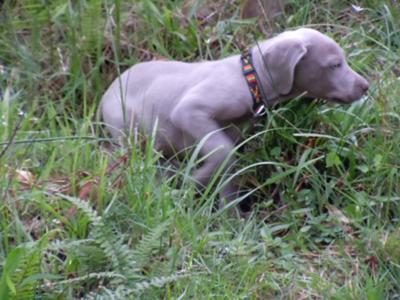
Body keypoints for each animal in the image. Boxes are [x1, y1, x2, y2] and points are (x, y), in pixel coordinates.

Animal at [100, 29, 368, 210]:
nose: (365, 86)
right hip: (126, 128)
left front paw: (231, 214)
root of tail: (106, 92)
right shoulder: (189, 110)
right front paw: (192, 182)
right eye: (335, 65)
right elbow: (224, 152)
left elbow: (228, 171)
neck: (249, 77)